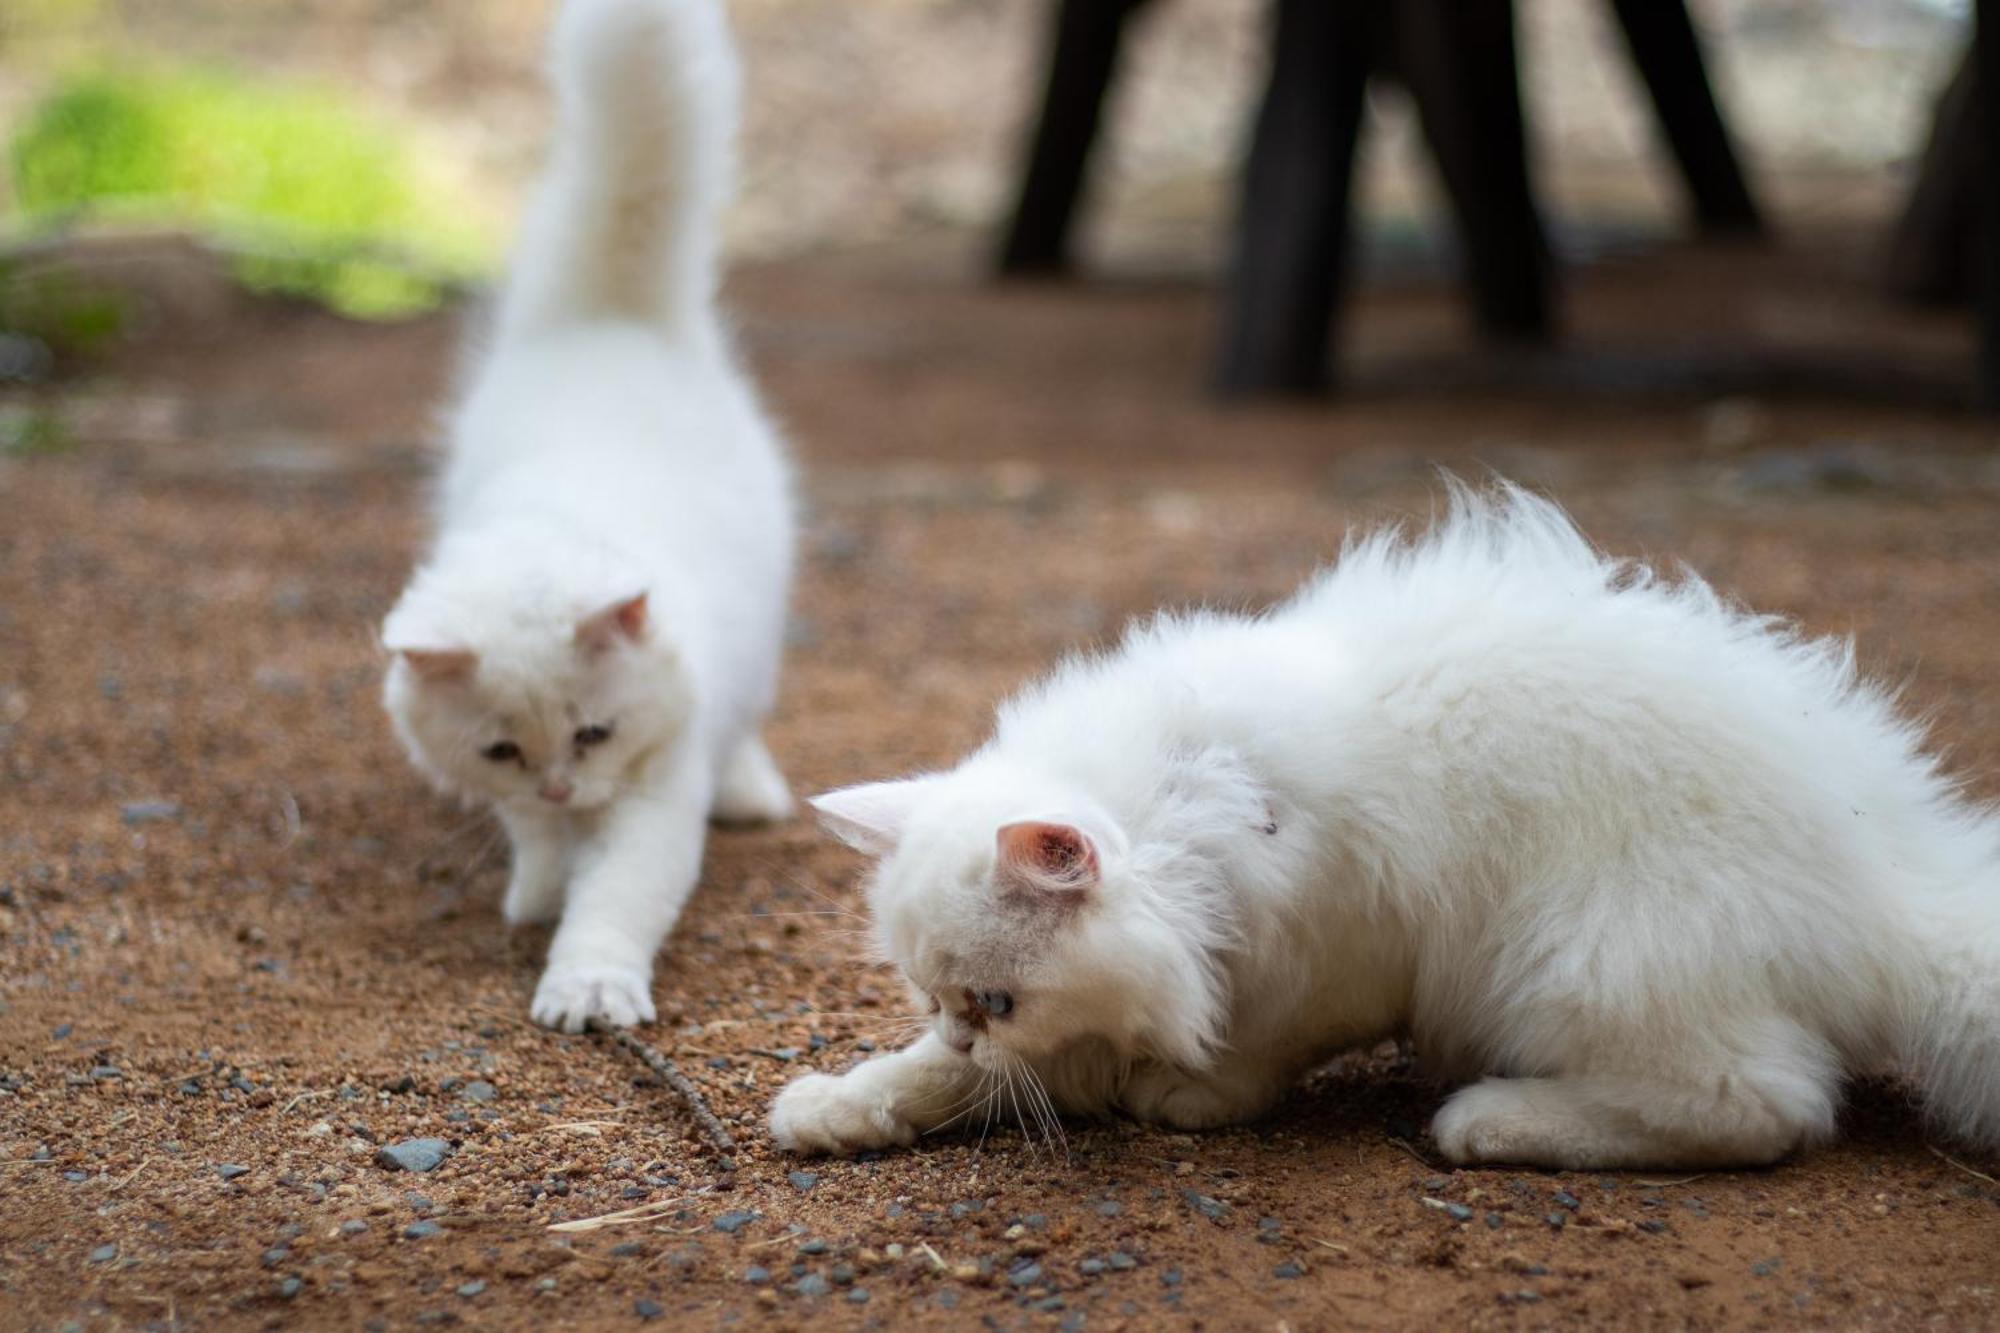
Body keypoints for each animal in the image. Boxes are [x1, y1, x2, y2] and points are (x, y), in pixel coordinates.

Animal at [378, 0, 792, 1032]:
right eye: (503, 747)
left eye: (594, 733)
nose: (566, 783)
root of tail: (615, 319)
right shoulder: (519, 797)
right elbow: (541, 845)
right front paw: (537, 895)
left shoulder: (653, 799)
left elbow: (614, 902)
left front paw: (588, 989)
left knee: (748, 723)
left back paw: (751, 793)